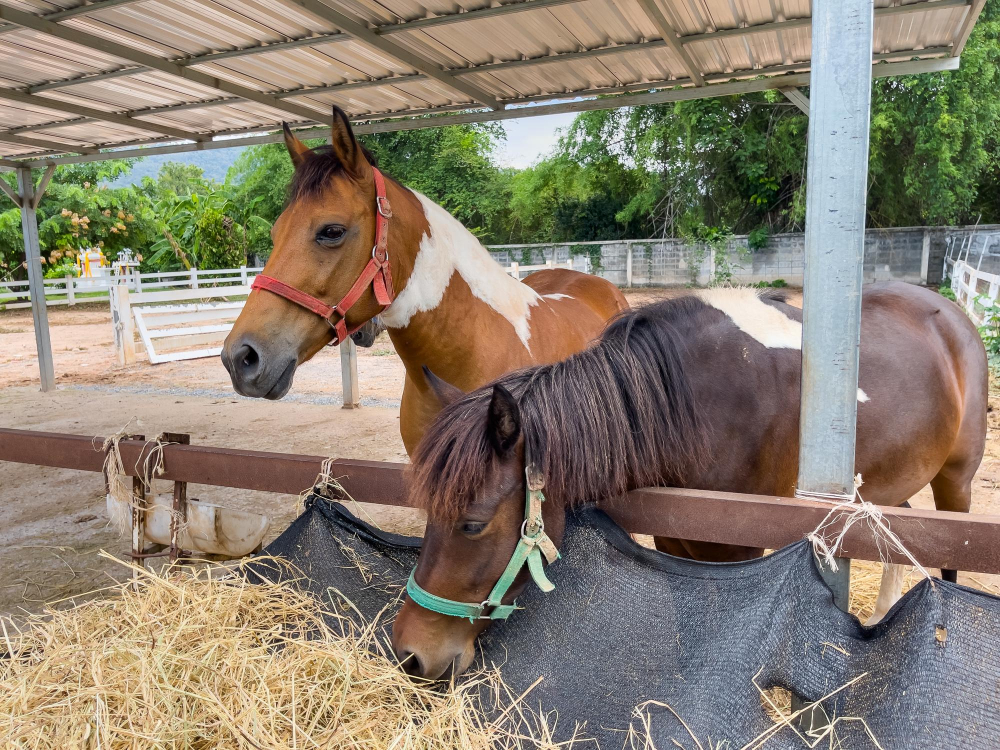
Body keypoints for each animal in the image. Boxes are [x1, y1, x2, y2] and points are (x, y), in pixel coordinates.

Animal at [390, 286, 984, 680]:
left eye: (472, 524)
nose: (410, 654)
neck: (698, 406)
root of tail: (954, 313)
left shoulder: (736, 549)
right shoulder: (676, 537)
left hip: (955, 484)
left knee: (952, 556)